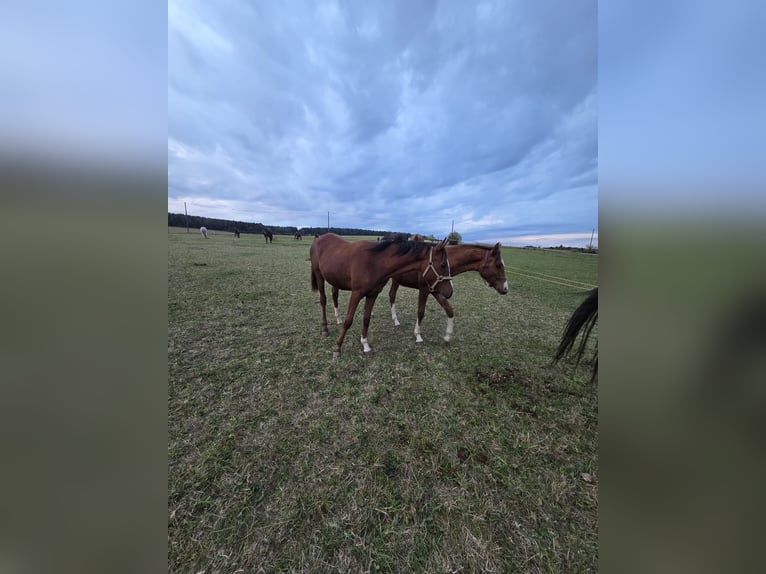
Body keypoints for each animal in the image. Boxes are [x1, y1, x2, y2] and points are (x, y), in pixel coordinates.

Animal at [310, 233, 454, 357]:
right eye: (443, 264)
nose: (450, 292)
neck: (375, 261)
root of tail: (318, 238)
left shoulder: (372, 295)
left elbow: (366, 319)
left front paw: (365, 345)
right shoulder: (356, 294)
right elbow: (348, 321)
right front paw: (338, 348)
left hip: (335, 279)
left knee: (334, 295)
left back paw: (337, 319)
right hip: (319, 275)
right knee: (323, 300)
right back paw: (325, 328)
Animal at [332, 242, 508, 344]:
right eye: (499, 265)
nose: (505, 288)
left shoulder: (436, 290)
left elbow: (449, 309)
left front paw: (447, 335)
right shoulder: (425, 289)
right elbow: (421, 312)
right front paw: (418, 335)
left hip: (394, 280)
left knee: (390, 295)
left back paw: (394, 320)